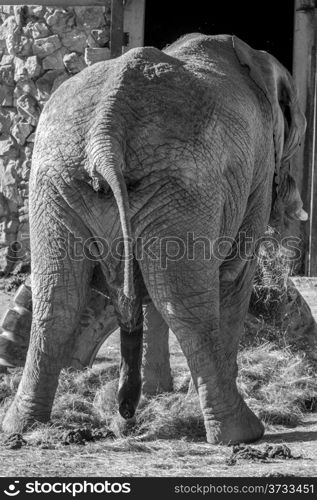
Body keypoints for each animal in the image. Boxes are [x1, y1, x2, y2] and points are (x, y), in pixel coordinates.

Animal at [1, 33, 304, 444]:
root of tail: (106, 130)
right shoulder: (255, 174)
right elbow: (231, 276)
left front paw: (158, 394)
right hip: (183, 184)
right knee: (186, 304)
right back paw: (242, 434)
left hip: (55, 179)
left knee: (59, 298)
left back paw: (23, 426)